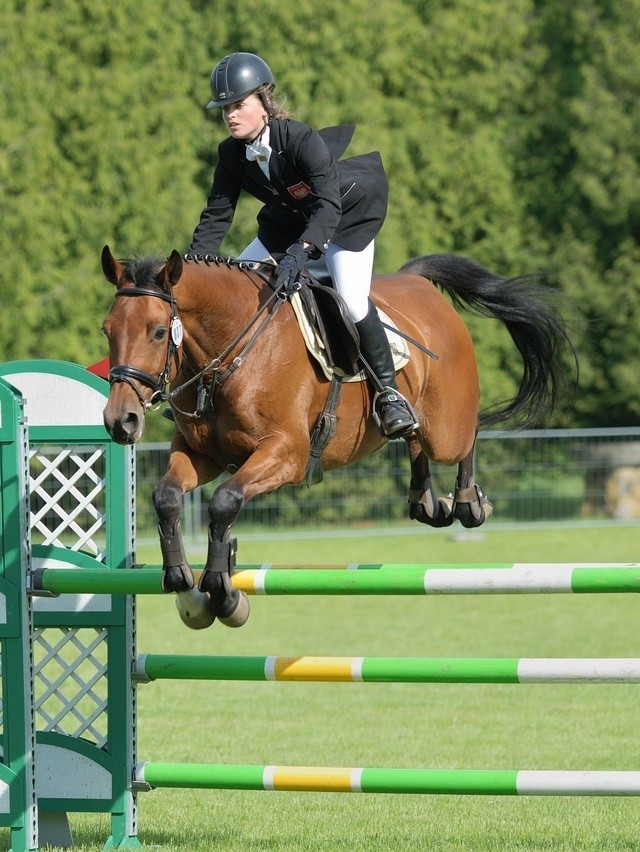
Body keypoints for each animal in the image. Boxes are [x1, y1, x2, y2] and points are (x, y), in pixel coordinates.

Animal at [100, 243, 568, 628]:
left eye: (159, 332)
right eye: (108, 329)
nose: (120, 421)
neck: (230, 352)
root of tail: (420, 284)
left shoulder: (286, 453)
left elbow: (224, 502)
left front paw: (221, 589)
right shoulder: (201, 455)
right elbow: (166, 497)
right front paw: (181, 579)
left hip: (447, 425)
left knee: (464, 435)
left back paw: (469, 502)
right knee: (413, 436)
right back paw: (426, 500)